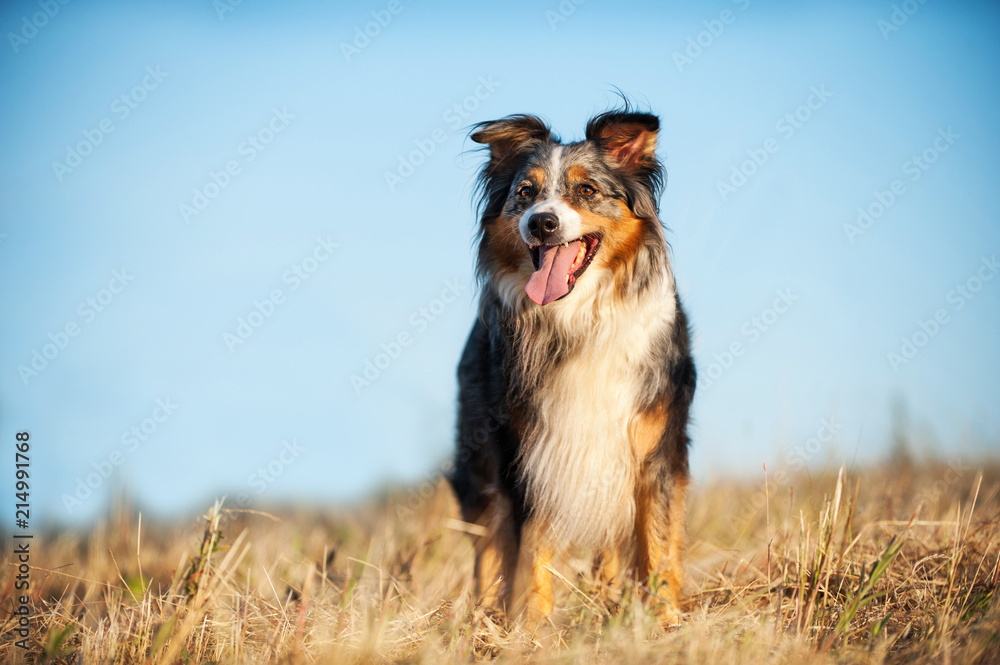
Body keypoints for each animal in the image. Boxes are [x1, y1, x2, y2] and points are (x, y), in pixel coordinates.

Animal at [452, 106, 696, 624]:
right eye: (525, 193)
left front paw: (665, 622)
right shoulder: (530, 453)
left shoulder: (656, 450)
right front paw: (532, 628)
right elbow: (532, 552)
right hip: (482, 457)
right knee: (489, 544)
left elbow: (658, 544)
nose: (542, 223)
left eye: (586, 190)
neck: (579, 319)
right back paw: (484, 621)